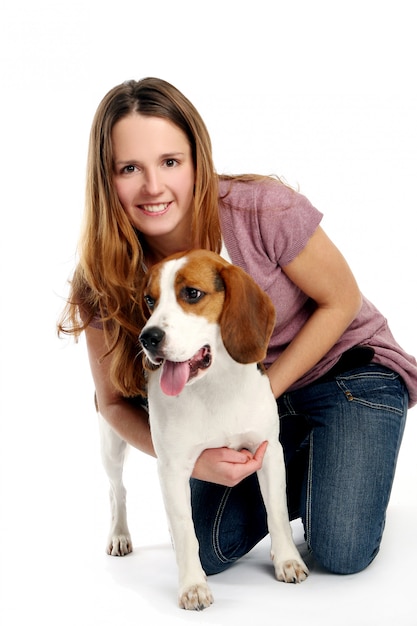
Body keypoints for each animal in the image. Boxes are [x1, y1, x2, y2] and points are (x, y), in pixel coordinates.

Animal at [99, 249, 308, 608]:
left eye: (192, 293)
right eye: (150, 299)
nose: (147, 338)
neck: (216, 386)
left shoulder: (269, 452)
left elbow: (277, 511)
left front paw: (287, 560)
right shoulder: (172, 466)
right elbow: (186, 530)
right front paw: (193, 586)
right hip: (111, 439)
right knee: (117, 491)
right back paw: (119, 534)